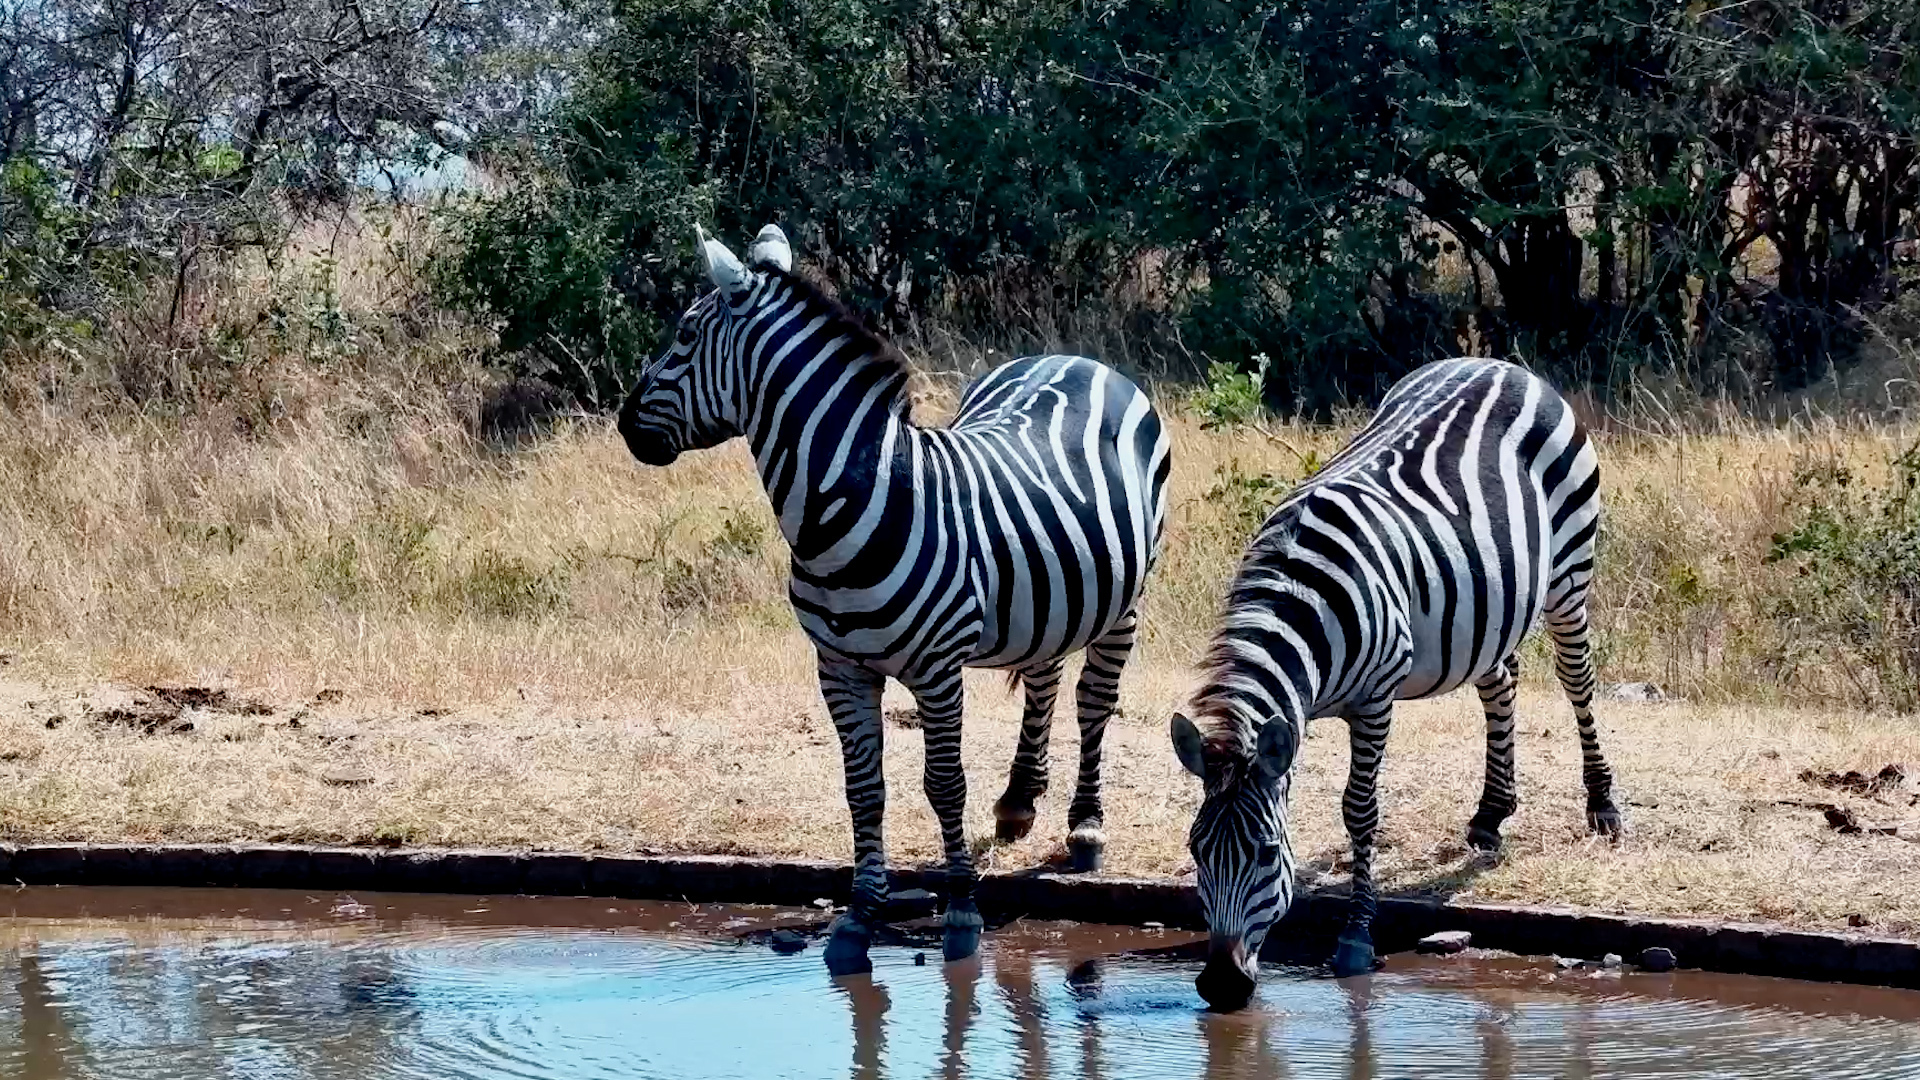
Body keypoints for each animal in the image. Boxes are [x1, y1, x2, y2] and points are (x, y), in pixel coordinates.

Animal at [618, 223, 1172, 976]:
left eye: (682, 335)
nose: (623, 424)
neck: (845, 507)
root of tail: (1077, 357)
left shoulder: (937, 669)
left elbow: (944, 783)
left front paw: (961, 911)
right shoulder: (839, 668)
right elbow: (864, 789)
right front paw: (858, 918)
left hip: (1124, 600)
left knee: (1093, 703)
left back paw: (1085, 828)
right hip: (1048, 594)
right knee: (1045, 676)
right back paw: (1019, 801)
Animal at [1167, 357, 1622, 1008]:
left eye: (1267, 854)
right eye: (1195, 850)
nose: (1222, 987)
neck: (1305, 602)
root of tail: (1499, 364)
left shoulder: (1376, 698)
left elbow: (1359, 810)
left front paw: (1357, 937)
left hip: (1569, 571)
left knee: (1577, 678)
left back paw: (1603, 805)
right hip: (1487, 610)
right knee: (1499, 681)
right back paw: (1491, 814)